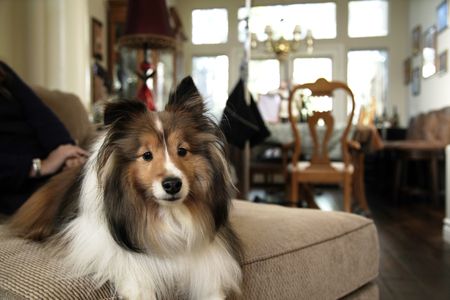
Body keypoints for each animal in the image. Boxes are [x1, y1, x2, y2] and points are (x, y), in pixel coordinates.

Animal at [8, 77, 243, 300]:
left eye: (182, 150)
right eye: (147, 155)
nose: (173, 184)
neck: (165, 214)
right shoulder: (93, 239)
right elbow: (124, 261)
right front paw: (140, 290)